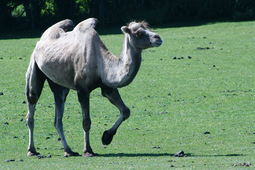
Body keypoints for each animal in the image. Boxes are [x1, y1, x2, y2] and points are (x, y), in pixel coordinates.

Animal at [25, 17, 161, 157]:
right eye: (138, 33)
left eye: (147, 27)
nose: (158, 38)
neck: (101, 63)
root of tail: (39, 42)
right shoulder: (82, 89)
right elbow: (86, 122)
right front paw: (88, 150)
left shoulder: (107, 87)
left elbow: (125, 111)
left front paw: (106, 137)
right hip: (34, 67)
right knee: (31, 103)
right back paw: (32, 150)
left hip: (58, 84)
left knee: (58, 116)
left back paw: (68, 150)